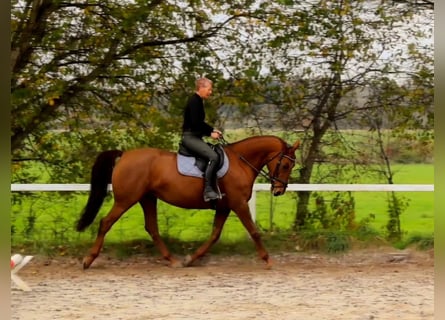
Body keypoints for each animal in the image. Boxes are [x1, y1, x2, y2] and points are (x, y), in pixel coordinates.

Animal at [76, 135, 300, 270]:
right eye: (285, 165)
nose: (279, 190)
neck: (240, 162)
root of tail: (124, 155)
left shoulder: (224, 207)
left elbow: (214, 235)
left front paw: (191, 259)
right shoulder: (238, 204)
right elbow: (253, 231)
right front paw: (268, 259)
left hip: (147, 198)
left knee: (152, 228)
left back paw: (173, 260)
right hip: (126, 199)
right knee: (106, 222)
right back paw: (88, 259)